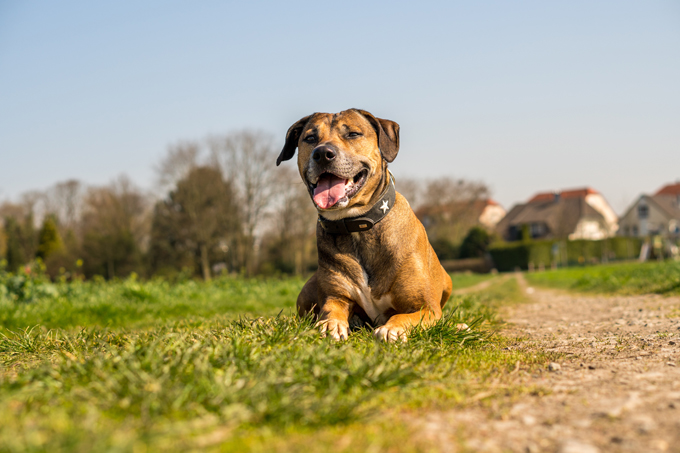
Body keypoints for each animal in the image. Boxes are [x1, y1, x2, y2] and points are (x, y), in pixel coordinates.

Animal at [276, 109, 452, 340]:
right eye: (310, 138)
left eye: (353, 134)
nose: (322, 153)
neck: (356, 225)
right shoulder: (336, 296)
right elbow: (331, 309)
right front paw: (330, 324)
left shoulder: (426, 307)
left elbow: (404, 316)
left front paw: (391, 328)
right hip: (306, 291)